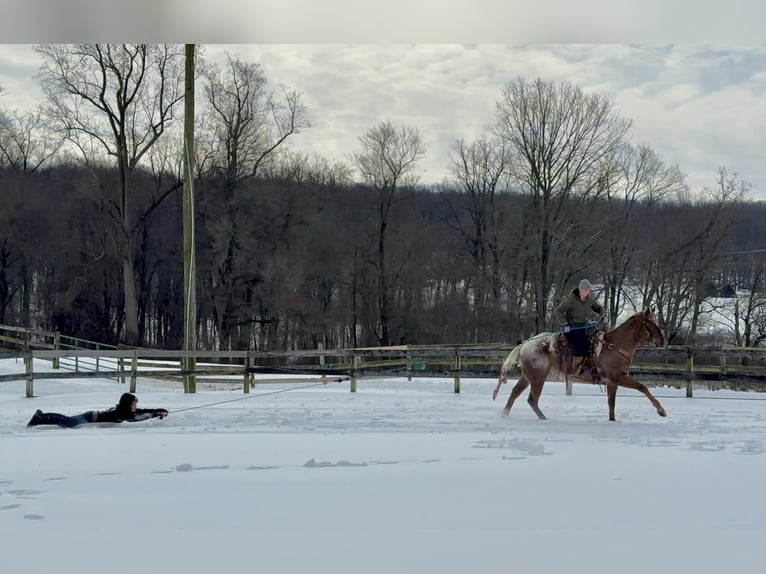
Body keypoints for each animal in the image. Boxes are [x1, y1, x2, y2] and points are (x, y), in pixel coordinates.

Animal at [492, 307, 667, 422]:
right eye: (650, 323)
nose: (662, 341)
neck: (614, 346)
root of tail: (525, 344)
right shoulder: (618, 378)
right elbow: (642, 387)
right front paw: (661, 410)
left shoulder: (612, 383)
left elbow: (611, 404)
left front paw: (612, 421)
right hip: (538, 378)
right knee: (532, 400)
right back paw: (544, 419)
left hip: (528, 376)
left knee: (515, 393)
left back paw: (504, 415)